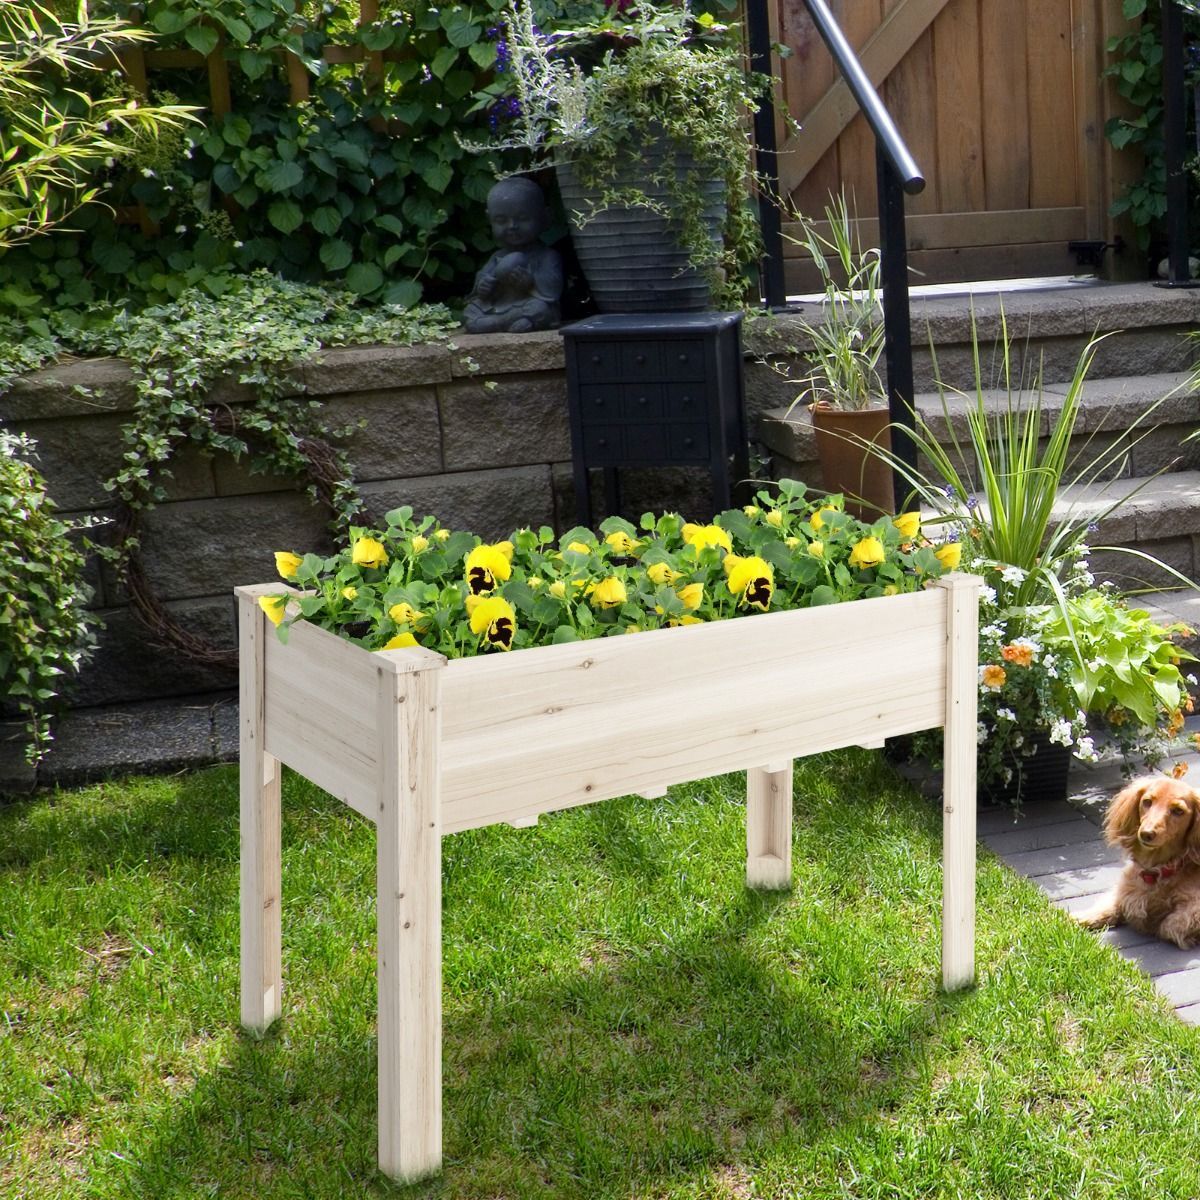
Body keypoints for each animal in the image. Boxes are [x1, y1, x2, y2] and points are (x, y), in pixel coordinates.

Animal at [1075, 777, 1200, 945]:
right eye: (1147, 801)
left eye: (1178, 811)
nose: (1147, 833)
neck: (1155, 872)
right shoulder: (1125, 888)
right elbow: (1114, 902)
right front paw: (1081, 917)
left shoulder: (1193, 905)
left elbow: (1172, 925)